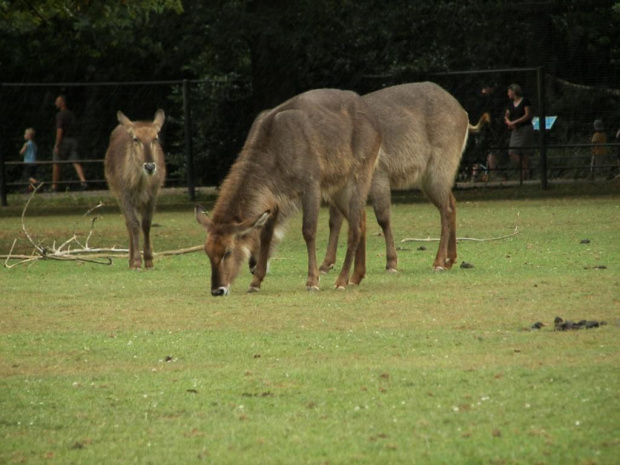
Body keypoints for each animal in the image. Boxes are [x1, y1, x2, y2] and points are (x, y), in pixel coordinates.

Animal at [105, 109, 166, 268]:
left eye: (156, 138)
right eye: (135, 139)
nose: (150, 166)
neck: (140, 185)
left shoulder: (153, 194)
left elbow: (146, 224)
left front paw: (149, 259)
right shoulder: (124, 194)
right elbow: (134, 224)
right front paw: (137, 261)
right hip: (117, 194)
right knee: (127, 223)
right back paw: (131, 260)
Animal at [194, 89, 380, 296]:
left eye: (228, 251)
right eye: (207, 251)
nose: (218, 290)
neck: (276, 147)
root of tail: (373, 118)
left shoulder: (311, 186)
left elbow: (308, 231)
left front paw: (312, 281)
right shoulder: (275, 200)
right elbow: (266, 235)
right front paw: (255, 282)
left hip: (360, 175)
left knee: (354, 227)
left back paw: (341, 281)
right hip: (337, 188)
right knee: (361, 219)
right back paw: (356, 277)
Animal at [320, 82, 490, 274]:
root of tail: (463, 112)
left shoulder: (379, 176)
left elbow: (383, 217)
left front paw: (391, 263)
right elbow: (334, 221)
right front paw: (325, 264)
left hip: (439, 169)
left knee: (446, 209)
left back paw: (439, 262)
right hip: (429, 178)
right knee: (451, 204)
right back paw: (449, 259)